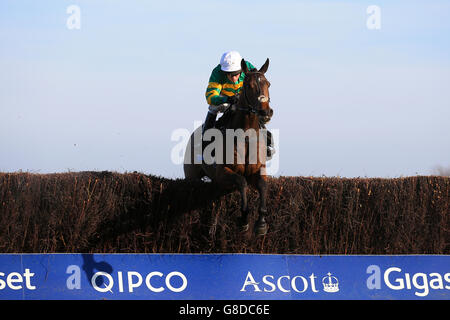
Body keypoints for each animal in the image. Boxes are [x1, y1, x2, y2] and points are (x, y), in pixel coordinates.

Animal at [184, 58, 274, 236]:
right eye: (249, 86)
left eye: (268, 83)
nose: (266, 113)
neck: (246, 137)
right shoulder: (222, 173)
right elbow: (241, 181)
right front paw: (244, 219)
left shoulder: (258, 169)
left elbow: (262, 185)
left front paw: (261, 222)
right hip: (191, 176)